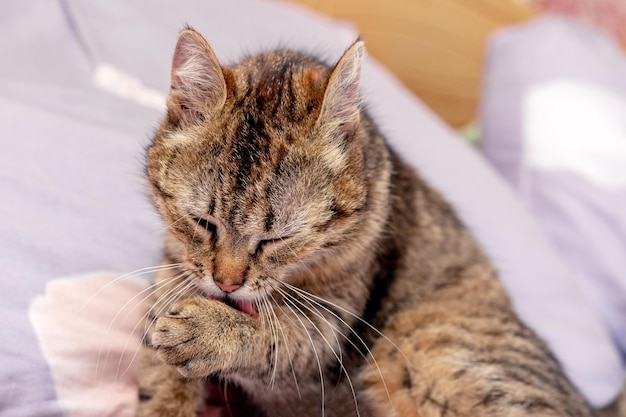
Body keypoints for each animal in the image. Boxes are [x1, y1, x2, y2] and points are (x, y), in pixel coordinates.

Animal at [135, 27, 596, 414]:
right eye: (202, 221)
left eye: (278, 237)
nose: (227, 284)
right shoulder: (171, 269)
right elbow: (158, 372)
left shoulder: (331, 327)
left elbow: (276, 332)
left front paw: (209, 331)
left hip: (426, 339)